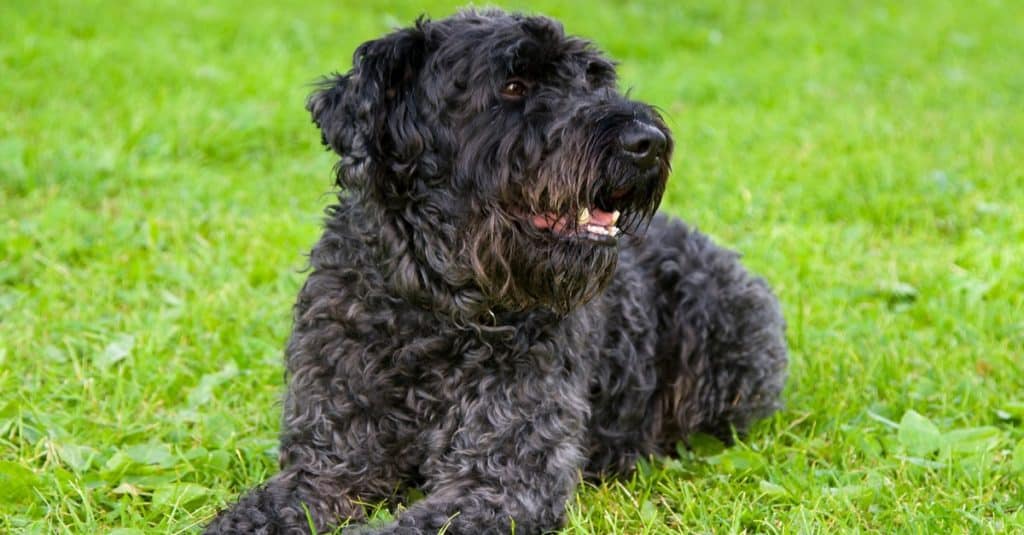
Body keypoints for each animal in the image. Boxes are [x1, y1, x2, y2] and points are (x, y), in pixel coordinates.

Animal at [203, 8, 786, 532]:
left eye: (595, 80)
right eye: (512, 85)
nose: (647, 143)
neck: (433, 307)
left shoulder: (499, 483)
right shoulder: (328, 465)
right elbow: (262, 509)